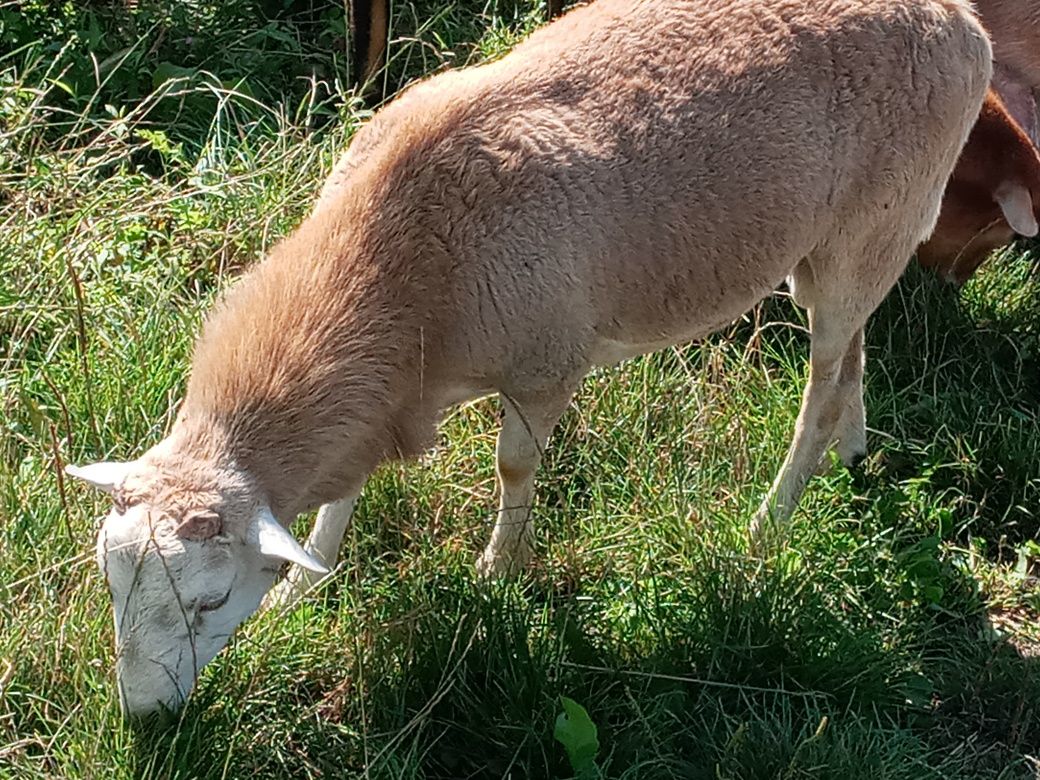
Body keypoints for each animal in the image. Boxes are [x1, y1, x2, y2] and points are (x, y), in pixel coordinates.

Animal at [65, 0, 990, 719]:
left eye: (211, 599)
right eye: (111, 586)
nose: (143, 718)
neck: (393, 276)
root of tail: (955, 20)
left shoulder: (547, 363)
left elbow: (513, 469)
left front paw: (496, 575)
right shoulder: (379, 396)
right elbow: (342, 490)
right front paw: (307, 581)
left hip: (876, 221)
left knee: (822, 387)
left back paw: (769, 524)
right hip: (842, 250)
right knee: (853, 348)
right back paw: (853, 449)